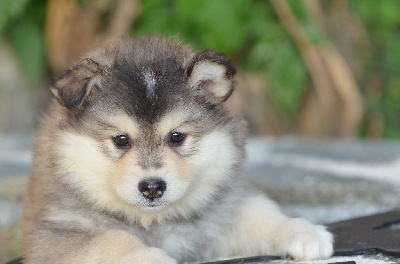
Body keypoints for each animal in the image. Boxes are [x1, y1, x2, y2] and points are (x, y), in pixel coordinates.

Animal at [21, 35, 334, 264]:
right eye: (121, 140)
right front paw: (151, 258)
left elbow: (258, 214)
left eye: (177, 137)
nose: (152, 188)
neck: (154, 221)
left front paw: (301, 230)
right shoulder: (54, 236)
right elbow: (113, 239)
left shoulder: (218, 216)